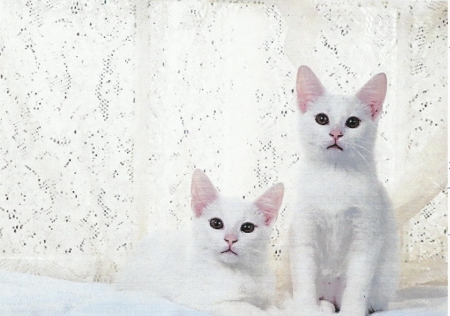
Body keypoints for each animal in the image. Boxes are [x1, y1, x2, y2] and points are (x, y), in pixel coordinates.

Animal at [116, 170, 284, 316]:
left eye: (247, 227)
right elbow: (246, 308)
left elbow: (270, 307)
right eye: (216, 223)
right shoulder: (198, 299)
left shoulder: (266, 297)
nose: (230, 239)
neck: (239, 271)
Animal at [288, 65, 398, 314]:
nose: (336, 133)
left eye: (353, 122)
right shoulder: (304, 233)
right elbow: (304, 277)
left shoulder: (366, 236)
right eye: (322, 119)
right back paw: (320, 306)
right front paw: (306, 308)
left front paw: (352, 310)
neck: (335, 176)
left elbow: (358, 283)